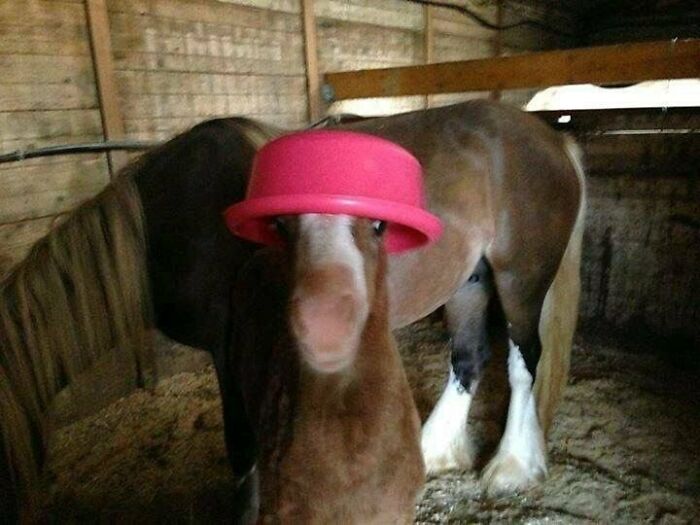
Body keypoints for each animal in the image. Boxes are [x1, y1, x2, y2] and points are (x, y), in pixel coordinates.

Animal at [0, 99, 584, 521]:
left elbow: (244, 449)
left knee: (523, 362)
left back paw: (511, 466)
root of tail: (551, 137)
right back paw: (434, 452)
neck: (168, 220)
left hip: (520, 279)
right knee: (467, 360)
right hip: (470, 280)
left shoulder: (229, 348)